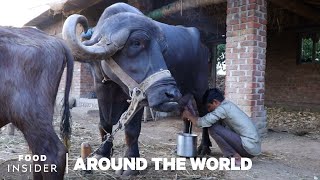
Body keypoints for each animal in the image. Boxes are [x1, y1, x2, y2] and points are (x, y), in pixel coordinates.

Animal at [62, 2, 211, 174]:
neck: (115, 84)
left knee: (204, 115)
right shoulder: (100, 85)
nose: (171, 93)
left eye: (163, 50)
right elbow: (104, 123)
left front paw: (130, 164)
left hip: (201, 89)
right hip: (184, 94)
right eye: (136, 43)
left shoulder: (138, 95)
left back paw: (204, 147)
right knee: (186, 115)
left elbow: (132, 130)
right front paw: (102, 154)